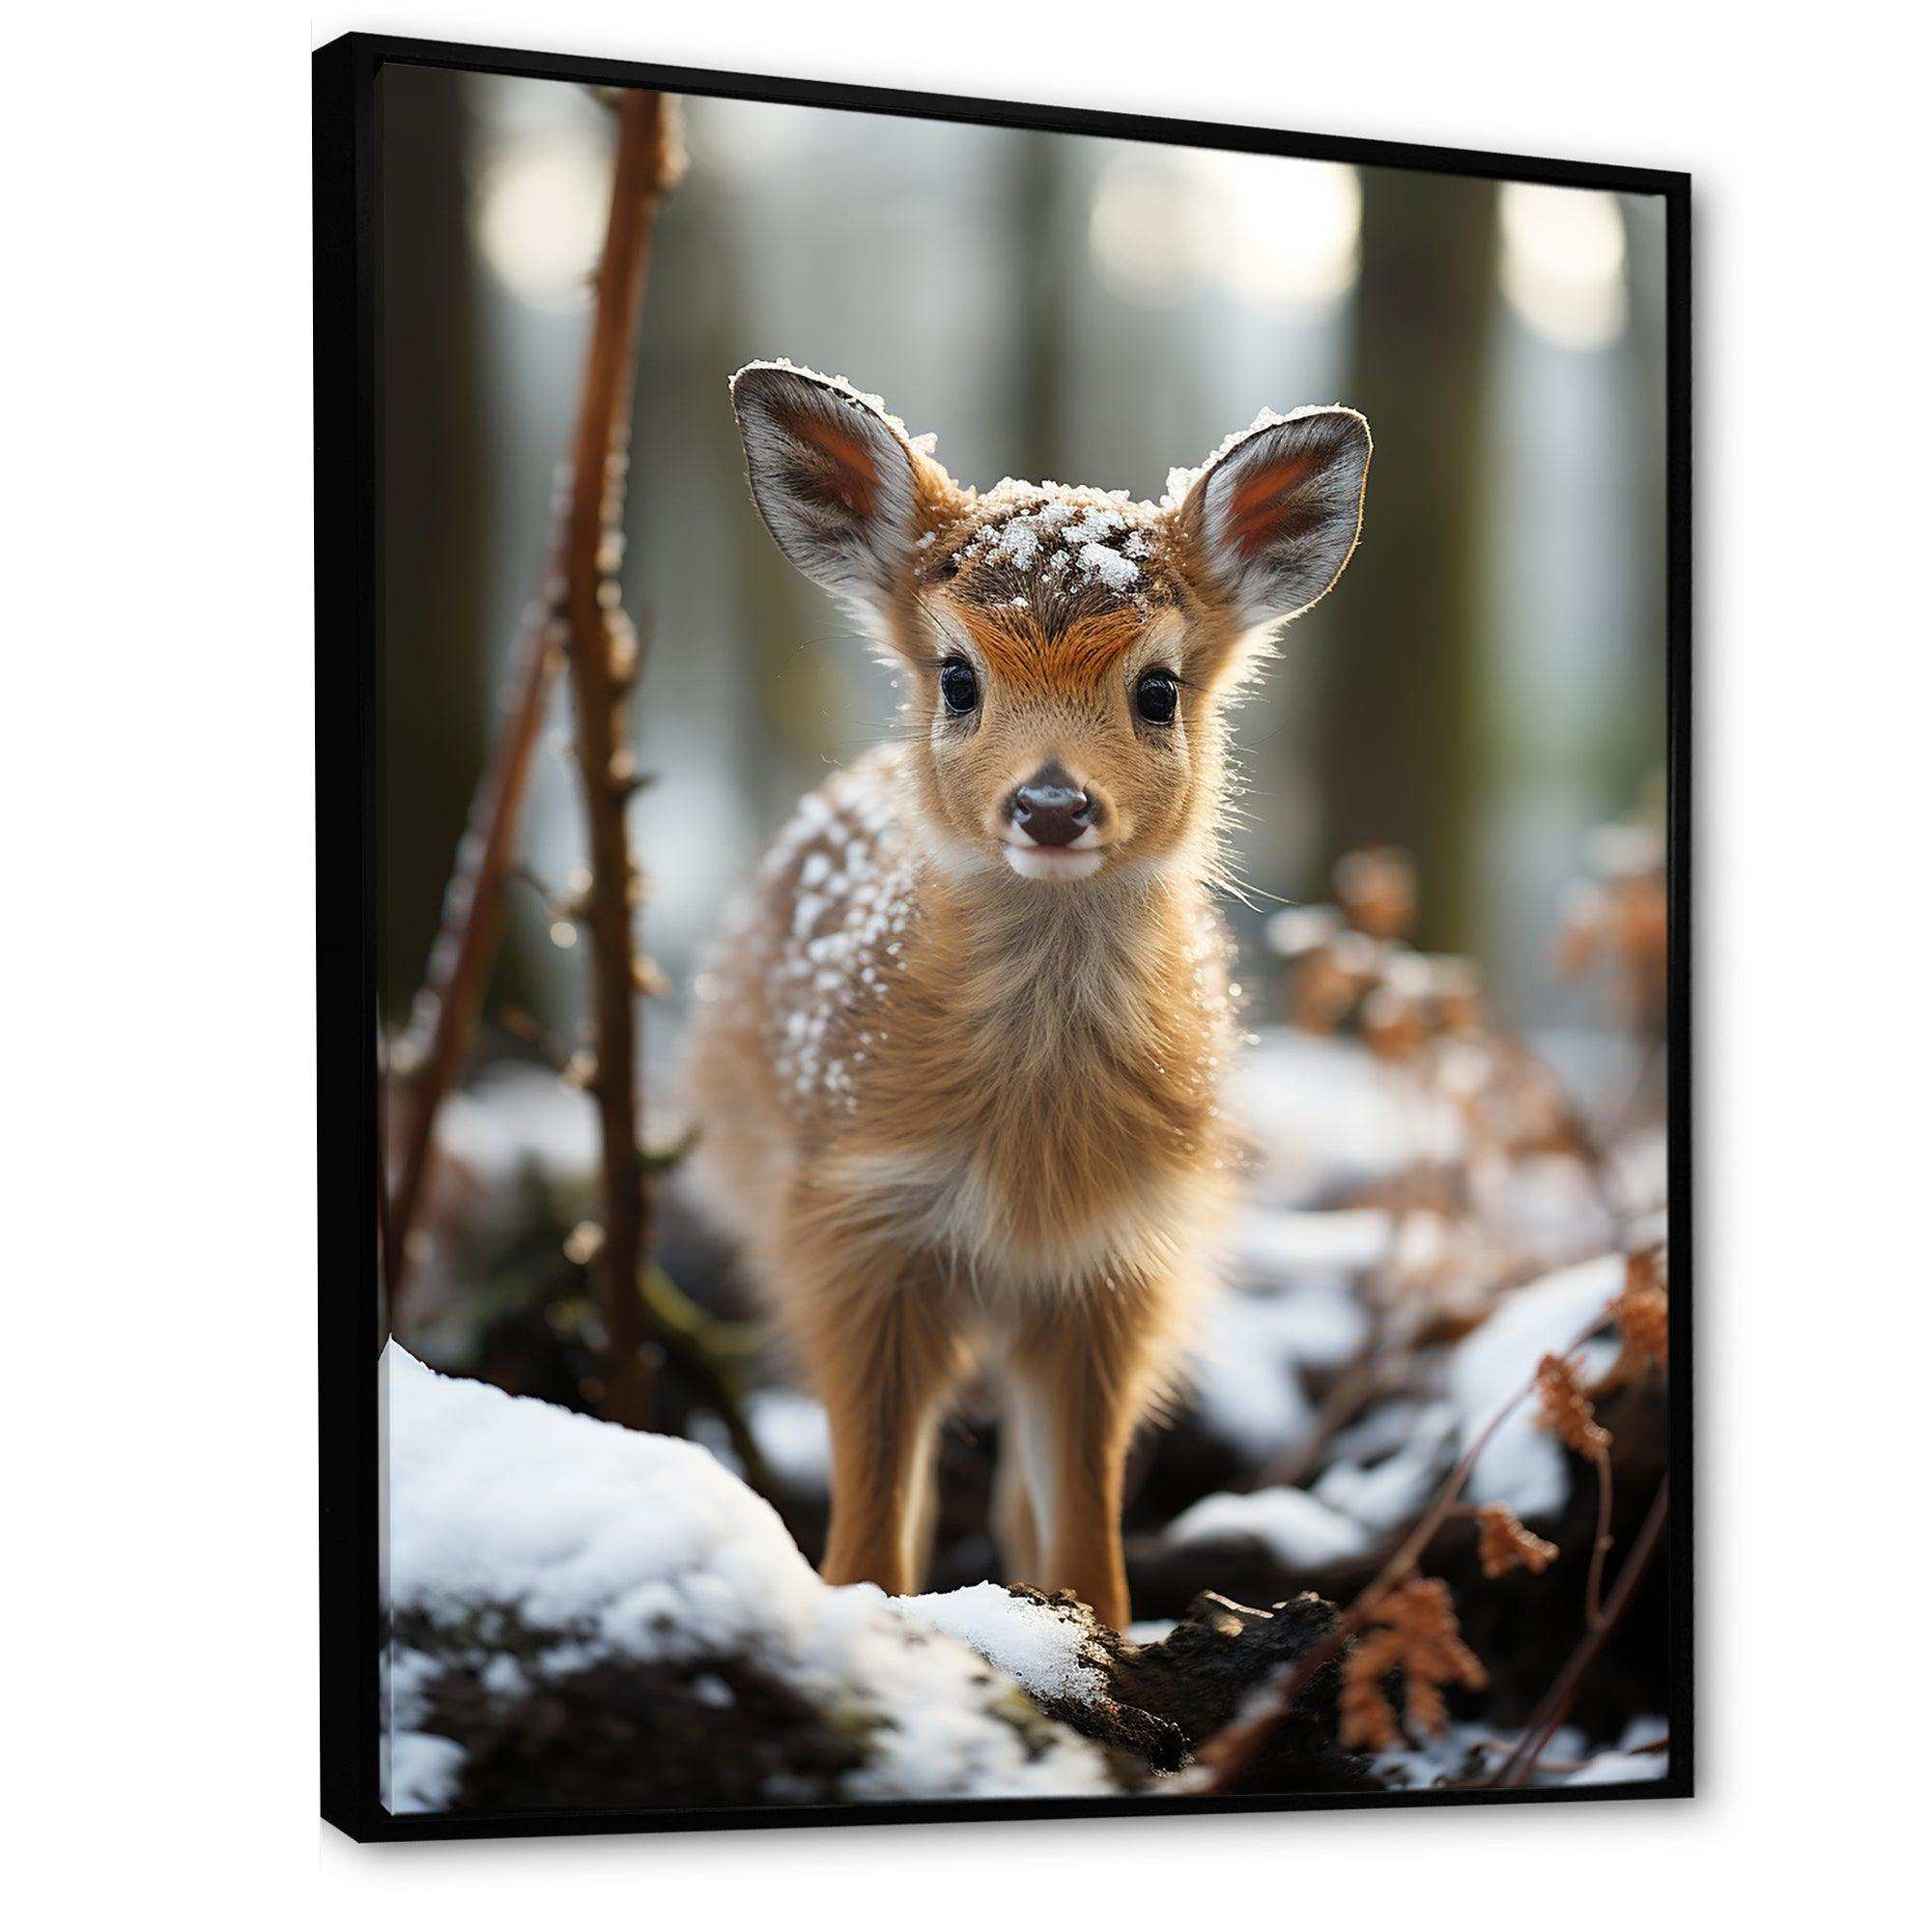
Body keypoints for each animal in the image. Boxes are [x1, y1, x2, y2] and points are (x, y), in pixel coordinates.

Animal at [686, 360, 1371, 1629]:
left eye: (1157, 688)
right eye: (957, 677)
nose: (1051, 804)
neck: (1026, 1157)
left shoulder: (1117, 1264)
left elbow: (1085, 1512)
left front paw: (1098, 1639)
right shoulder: (850, 1228)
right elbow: (871, 1513)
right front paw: (876, 1625)